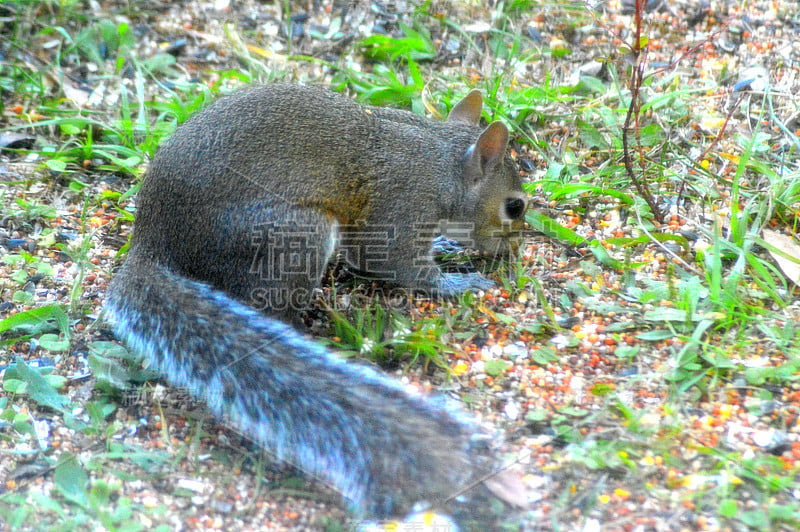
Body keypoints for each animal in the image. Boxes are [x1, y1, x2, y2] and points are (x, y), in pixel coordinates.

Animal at [104, 83, 532, 524]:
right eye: (514, 205)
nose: (514, 248)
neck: (440, 161)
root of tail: (153, 243)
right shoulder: (401, 206)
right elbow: (397, 266)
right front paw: (458, 283)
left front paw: (446, 245)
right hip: (295, 235)